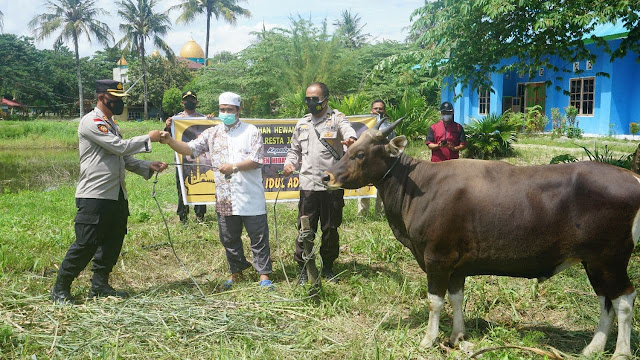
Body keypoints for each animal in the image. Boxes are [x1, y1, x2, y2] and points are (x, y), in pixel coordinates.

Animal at [324, 120, 640, 358]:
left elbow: (434, 302)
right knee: (606, 299)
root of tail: (633, 178)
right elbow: (456, 298)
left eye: (360, 154)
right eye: (349, 148)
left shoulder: (436, 258)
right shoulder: (455, 266)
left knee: (624, 298)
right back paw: (593, 348)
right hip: (594, 262)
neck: (421, 185)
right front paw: (457, 335)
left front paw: (428, 339)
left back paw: (620, 352)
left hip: (609, 259)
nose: (327, 177)